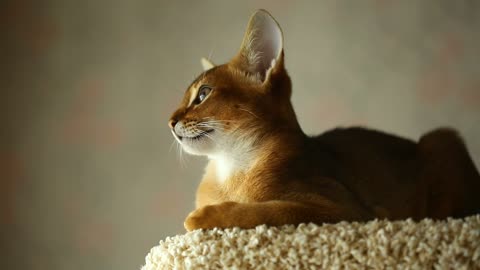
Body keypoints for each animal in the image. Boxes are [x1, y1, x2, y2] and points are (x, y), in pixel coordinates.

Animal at [169, 9, 480, 231]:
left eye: (203, 94)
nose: (169, 121)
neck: (231, 167)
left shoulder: (346, 210)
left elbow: (270, 210)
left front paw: (202, 217)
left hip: (441, 137)